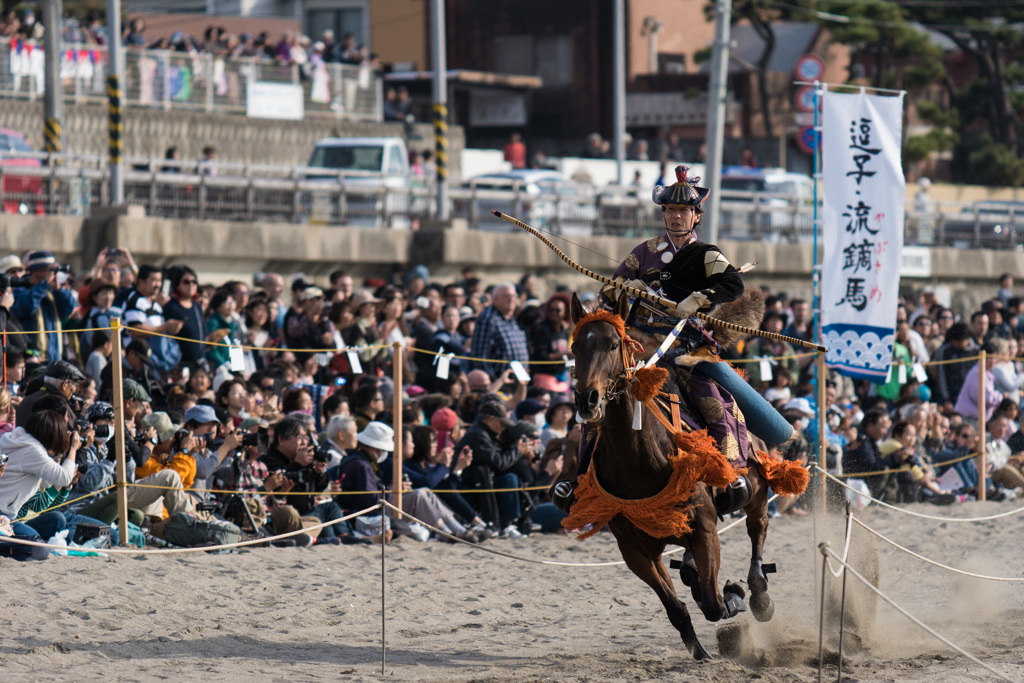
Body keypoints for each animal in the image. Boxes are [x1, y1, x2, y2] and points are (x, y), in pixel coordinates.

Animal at [565, 290, 794, 659]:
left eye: (613, 345)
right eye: (575, 347)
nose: (587, 399)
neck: (639, 461)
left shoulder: (704, 529)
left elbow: (715, 605)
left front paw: (733, 595)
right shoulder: (634, 549)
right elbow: (676, 608)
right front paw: (698, 648)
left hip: (757, 487)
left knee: (757, 529)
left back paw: (759, 594)